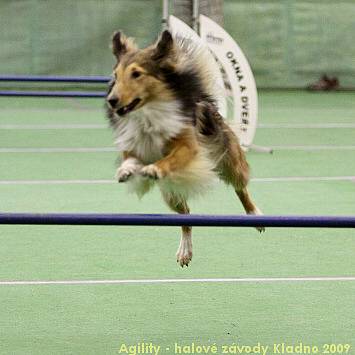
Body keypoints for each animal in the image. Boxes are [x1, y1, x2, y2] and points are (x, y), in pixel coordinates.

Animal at [105, 30, 264, 268]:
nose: (112, 100)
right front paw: (126, 170)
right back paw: (185, 251)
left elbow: (171, 158)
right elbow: (130, 159)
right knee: (186, 217)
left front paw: (155, 168)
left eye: (136, 74)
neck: (149, 113)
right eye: (116, 75)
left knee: (241, 189)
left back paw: (255, 215)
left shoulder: (189, 147)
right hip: (171, 192)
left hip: (231, 164)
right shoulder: (134, 145)